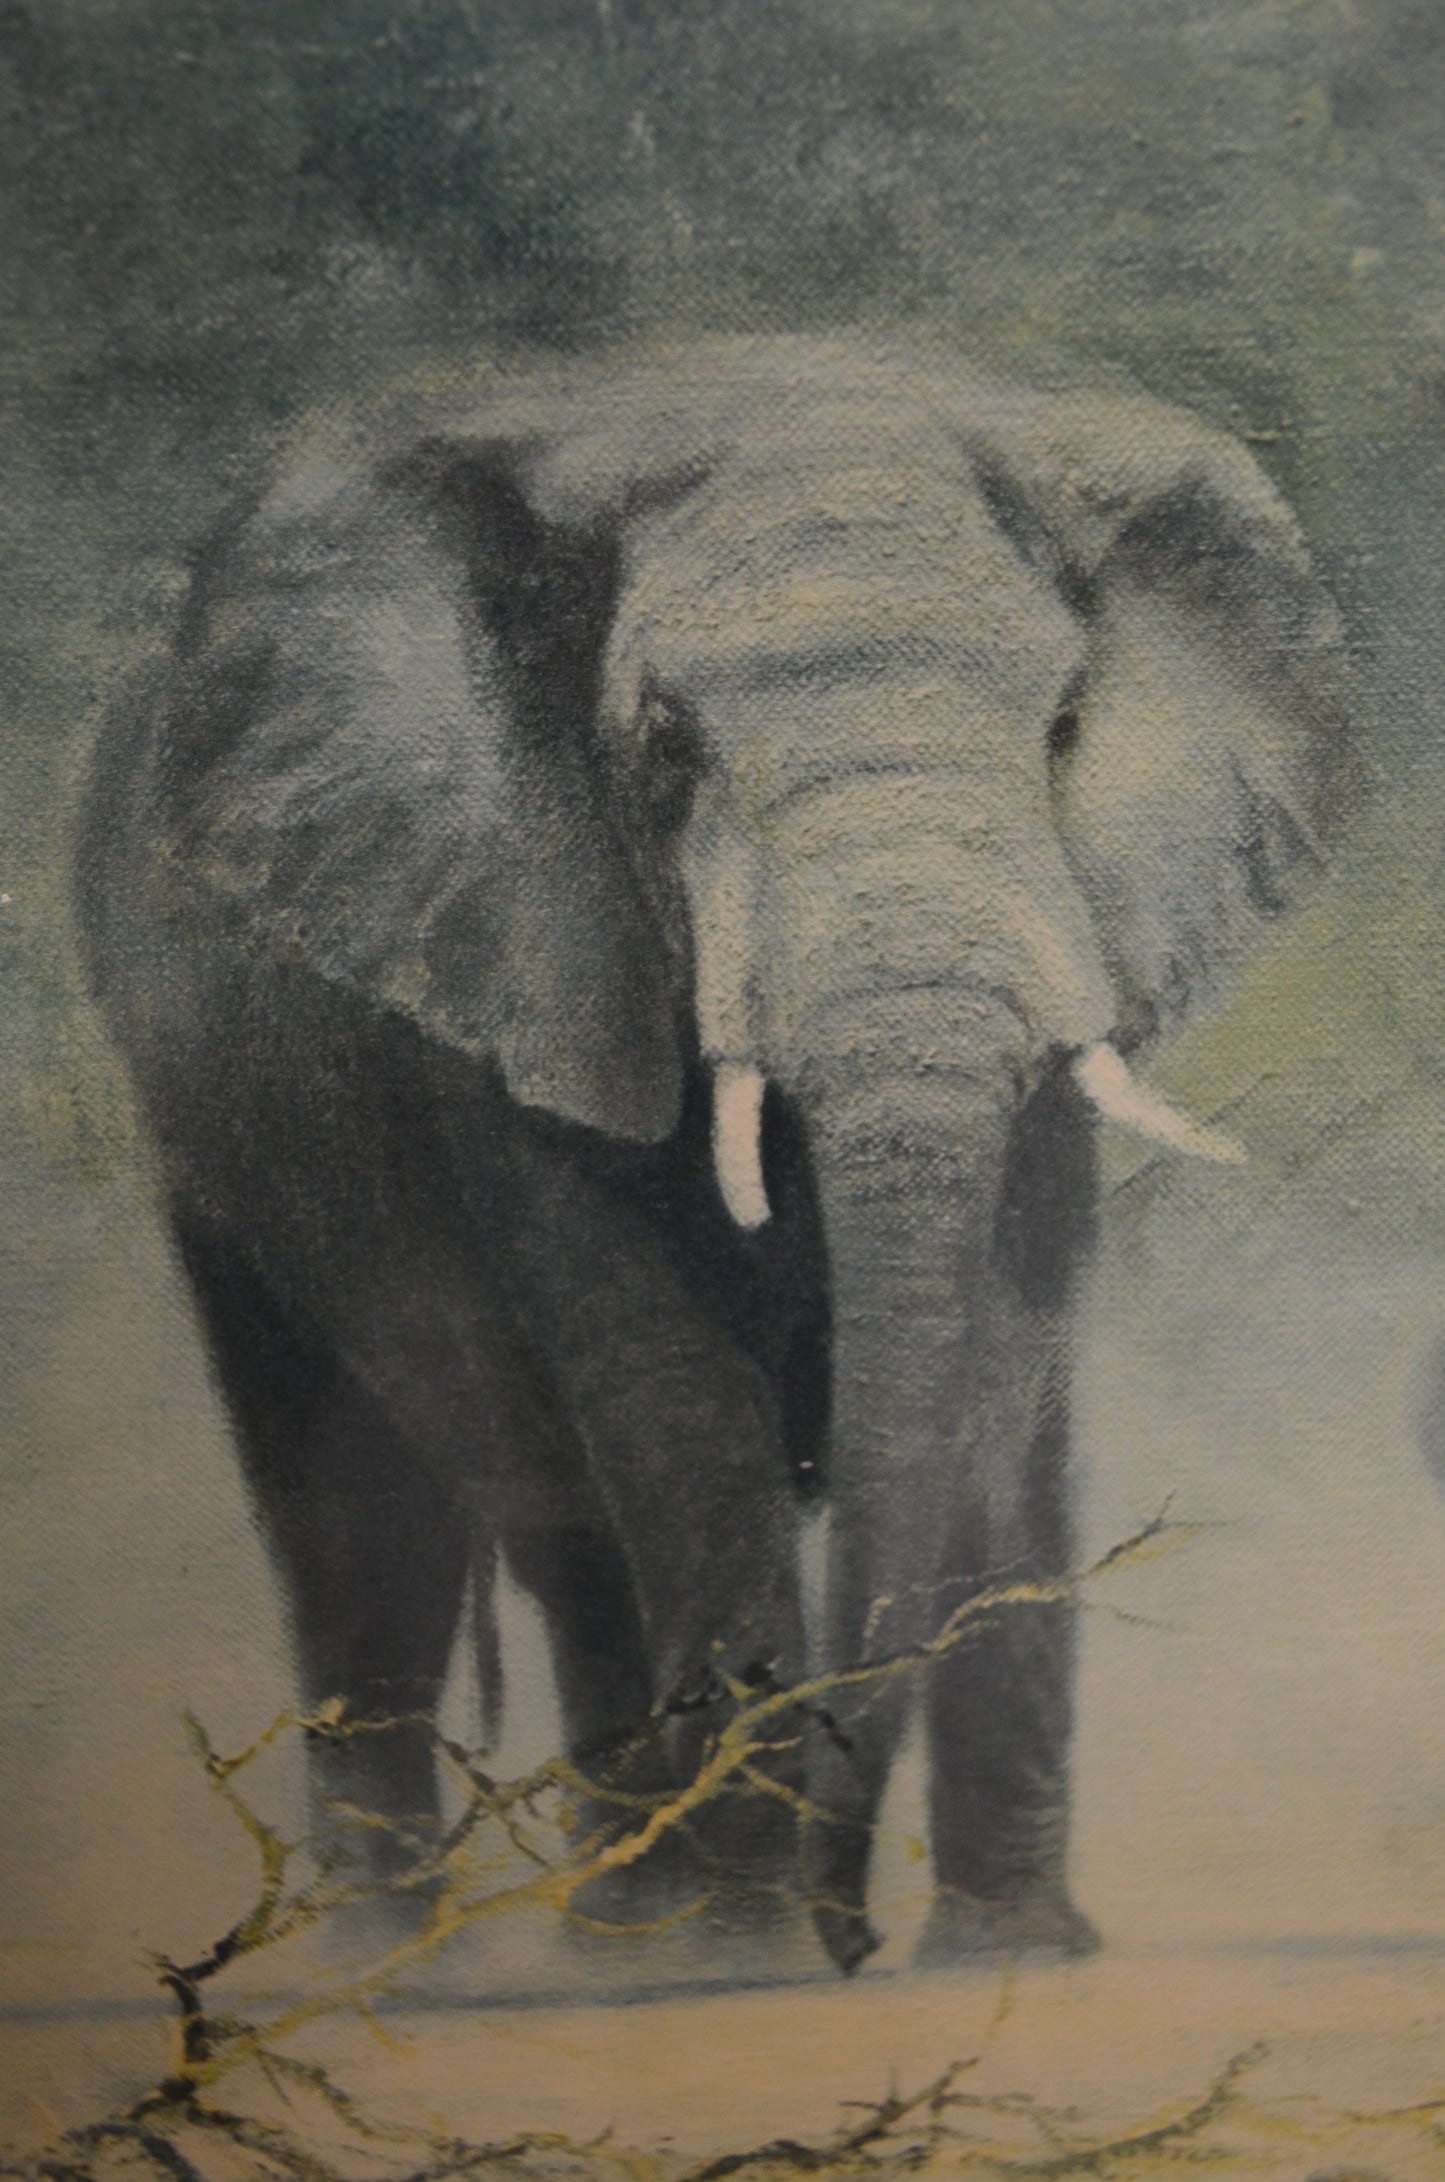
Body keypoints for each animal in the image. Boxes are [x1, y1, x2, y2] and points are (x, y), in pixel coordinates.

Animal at [77, 334, 1357, 1977]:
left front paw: (1006, 1961)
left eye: (1063, 730)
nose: (850, 1940)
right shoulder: (527, 940)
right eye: (665, 749)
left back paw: (607, 1922)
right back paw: (429, 1955)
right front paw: (747, 1958)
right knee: (367, 1510)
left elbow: (995, 1381)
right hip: (213, 1129)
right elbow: (673, 1395)